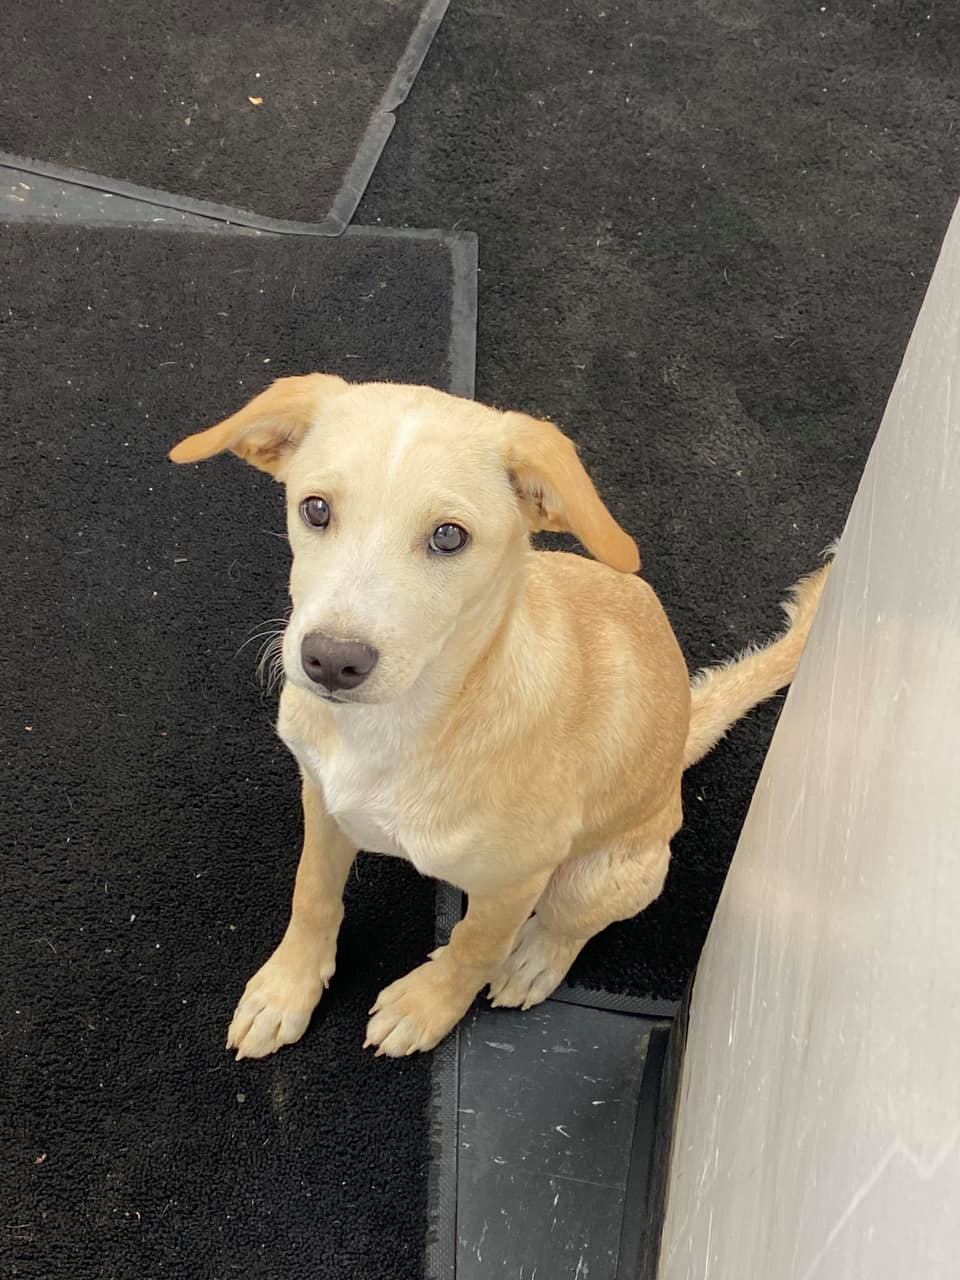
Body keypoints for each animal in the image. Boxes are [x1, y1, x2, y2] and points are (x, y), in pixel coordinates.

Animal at [170, 374, 829, 1059]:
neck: (401, 725)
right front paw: (287, 989)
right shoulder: (322, 799)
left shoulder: (516, 878)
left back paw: (534, 959)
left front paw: (428, 1005)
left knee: (566, 924)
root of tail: (678, 749)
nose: (330, 660)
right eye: (316, 509)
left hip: (605, 873)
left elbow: (473, 945)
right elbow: (312, 895)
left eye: (449, 536)